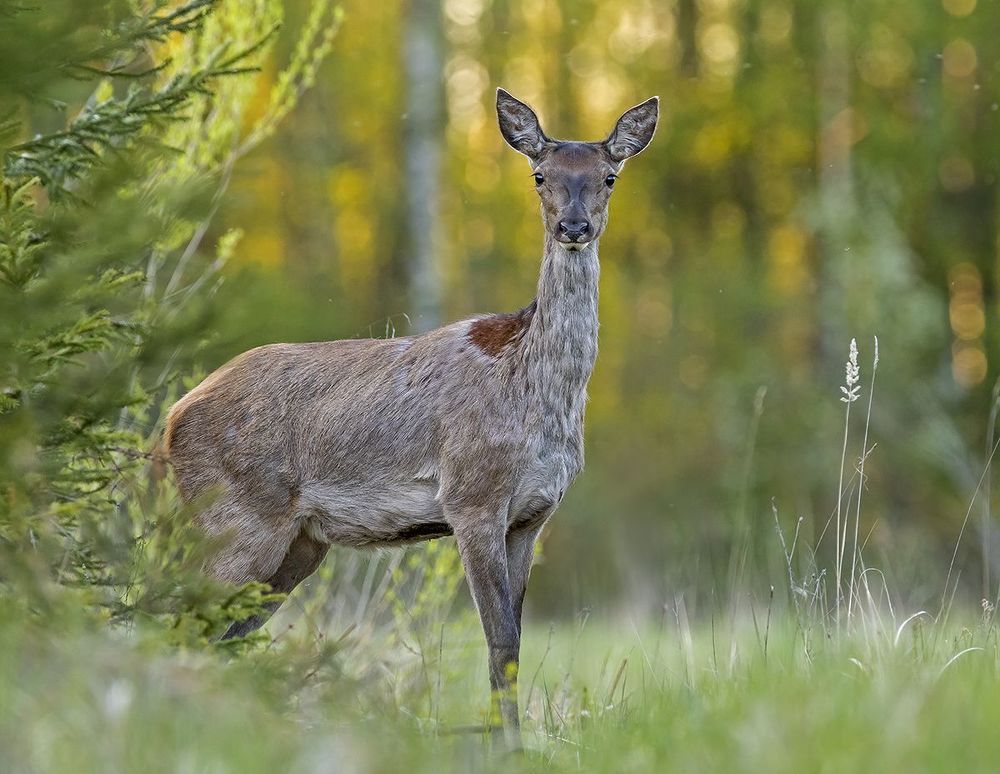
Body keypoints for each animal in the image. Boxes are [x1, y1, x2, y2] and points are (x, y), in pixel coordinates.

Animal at [162, 88, 658, 746]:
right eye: (539, 175)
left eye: (609, 176)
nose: (572, 226)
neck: (538, 398)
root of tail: (171, 419)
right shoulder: (472, 496)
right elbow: (499, 641)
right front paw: (506, 746)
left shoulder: (532, 516)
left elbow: (514, 645)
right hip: (237, 517)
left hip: (297, 544)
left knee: (209, 630)